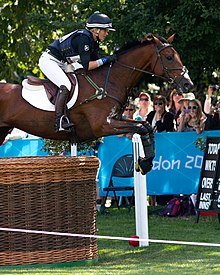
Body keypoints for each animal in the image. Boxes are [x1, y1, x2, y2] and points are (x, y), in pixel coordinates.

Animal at [0, 33, 192, 148]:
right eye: (169, 58)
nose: (187, 84)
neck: (108, 81)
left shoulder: (117, 119)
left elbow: (144, 125)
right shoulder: (103, 126)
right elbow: (141, 127)